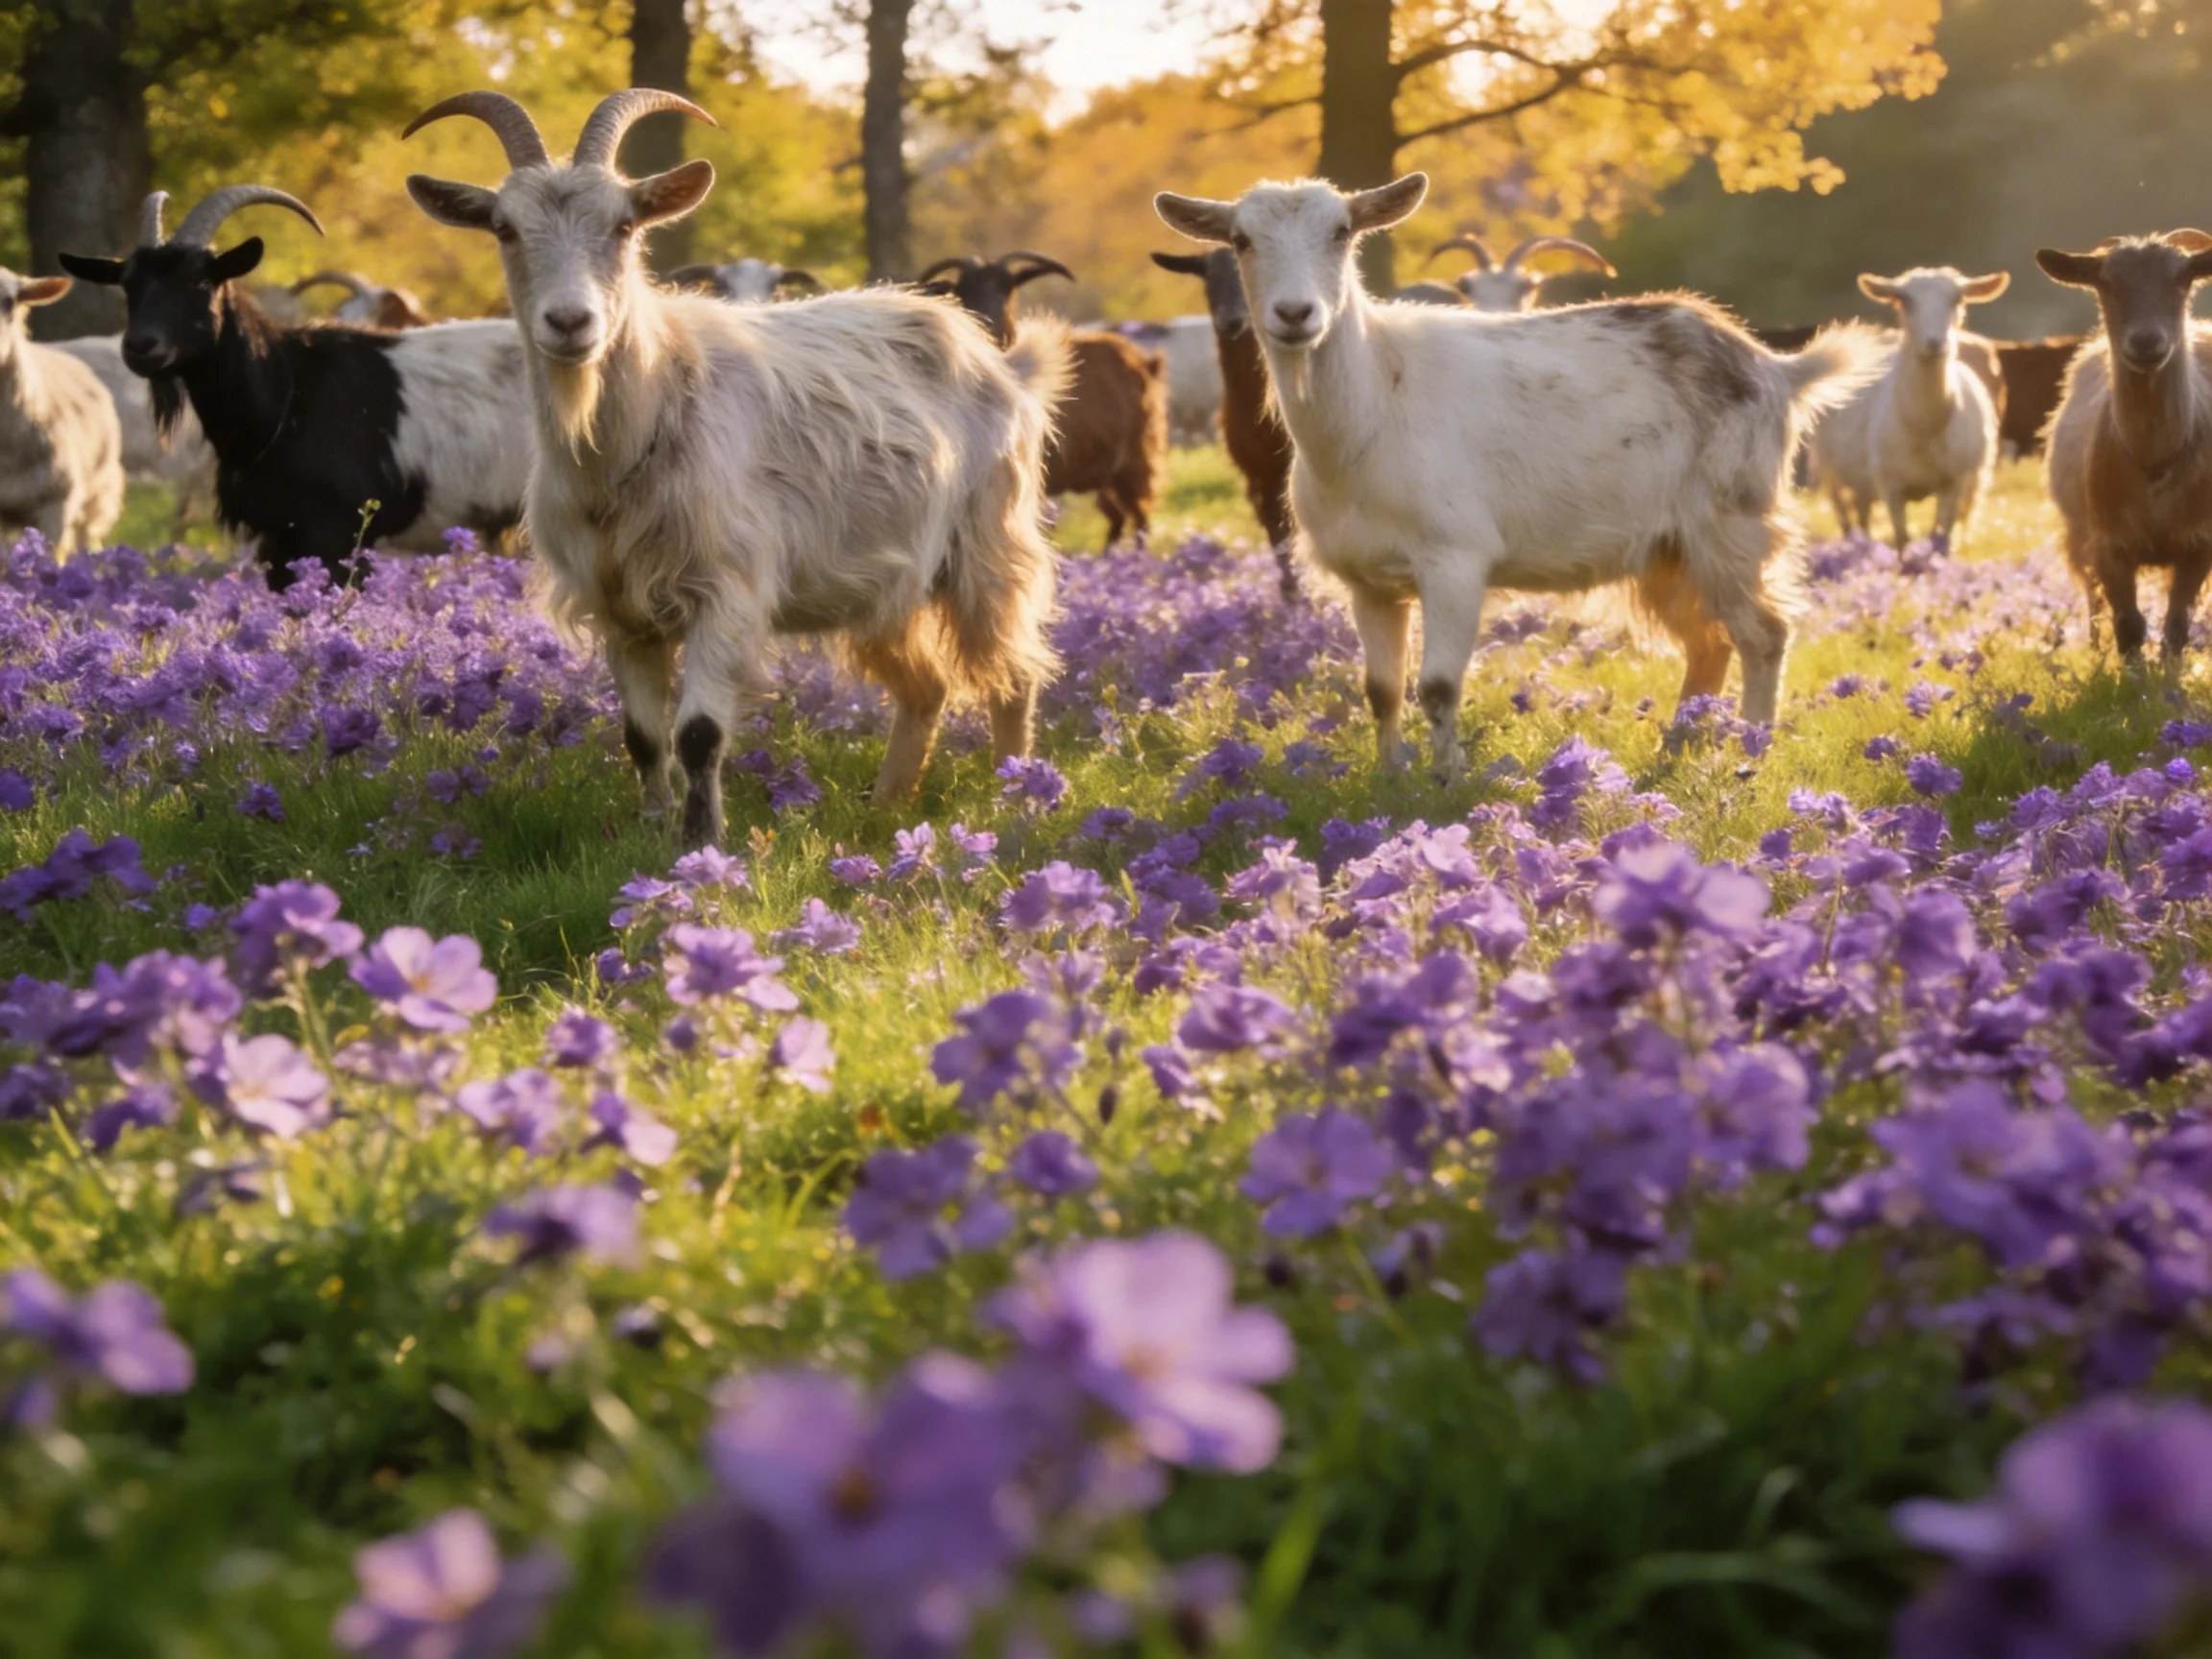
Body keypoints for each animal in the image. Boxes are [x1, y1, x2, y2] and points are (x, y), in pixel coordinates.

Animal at [922, 252, 1166, 550]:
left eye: (1009, 289)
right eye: (962, 289)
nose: (987, 326)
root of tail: (1146, 362)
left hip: (1137, 460)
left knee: (1140, 518)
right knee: (1118, 520)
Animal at [1807, 267, 2009, 549]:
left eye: (1958, 299)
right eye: (1904, 300)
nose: (1935, 343)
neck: (1925, 428)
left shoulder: (1953, 482)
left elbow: (1940, 537)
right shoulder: (1891, 485)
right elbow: (1902, 540)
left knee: (1863, 518)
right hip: (1829, 471)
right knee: (1848, 520)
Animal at [2039, 232, 2212, 661]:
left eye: (2182, 280)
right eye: (2107, 283)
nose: (2147, 342)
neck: (2154, 457)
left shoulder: (2199, 542)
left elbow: (2177, 624)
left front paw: (2169, 673)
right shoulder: (2108, 544)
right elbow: (2128, 624)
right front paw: (2134, 674)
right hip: (2078, 534)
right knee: (2094, 602)